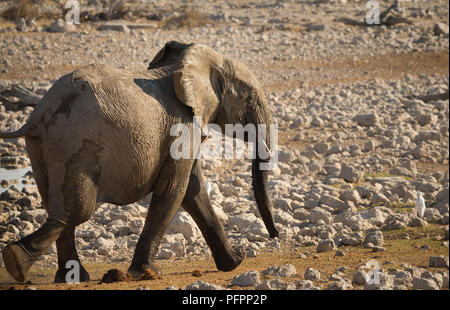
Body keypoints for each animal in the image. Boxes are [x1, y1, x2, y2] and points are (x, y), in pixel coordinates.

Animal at [0, 40, 278, 284]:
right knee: (77, 209)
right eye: (249, 96)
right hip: (74, 145)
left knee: (56, 206)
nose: (274, 236)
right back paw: (17, 263)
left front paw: (235, 261)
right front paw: (146, 273)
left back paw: (71, 277)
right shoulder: (182, 126)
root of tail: (38, 116)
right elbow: (174, 191)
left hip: (41, 149)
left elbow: (193, 190)